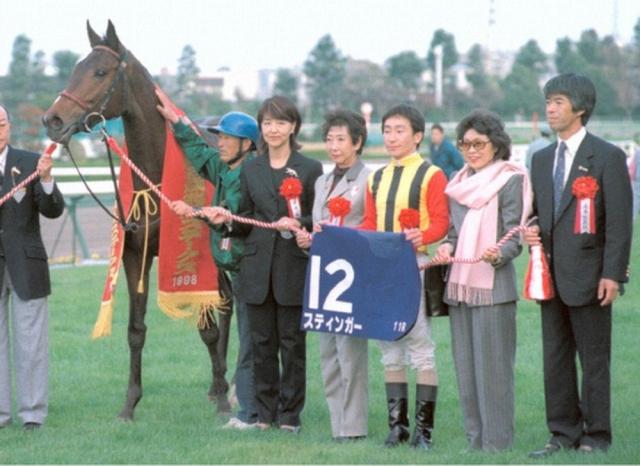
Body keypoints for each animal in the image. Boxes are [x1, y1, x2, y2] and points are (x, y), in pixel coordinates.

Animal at [43, 20, 232, 422]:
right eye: (76, 68)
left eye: (100, 72)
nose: (52, 120)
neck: (154, 176)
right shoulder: (133, 254)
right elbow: (135, 330)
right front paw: (129, 404)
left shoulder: (199, 259)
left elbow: (207, 327)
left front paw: (225, 401)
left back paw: (226, 384)